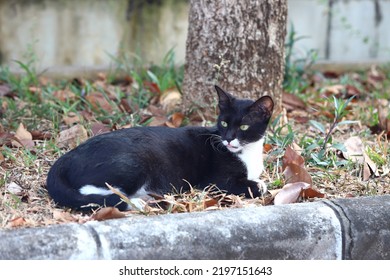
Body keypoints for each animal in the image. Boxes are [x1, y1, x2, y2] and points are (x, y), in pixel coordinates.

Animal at [46, 85, 274, 210]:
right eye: (224, 123)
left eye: (243, 126)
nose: (227, 139)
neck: (247, 153)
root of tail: (67, 157)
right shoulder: (215, 181)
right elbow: (252, 185)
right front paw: (259, 185)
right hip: (134, 162)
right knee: (93, 191)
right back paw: (135, 202)